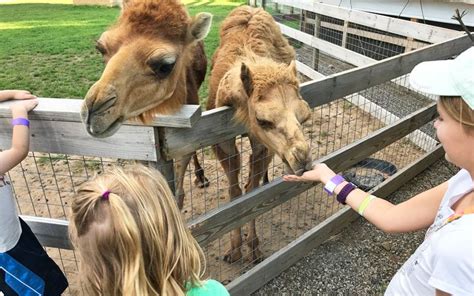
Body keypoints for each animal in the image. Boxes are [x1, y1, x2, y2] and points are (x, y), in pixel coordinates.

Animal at [208, 5, 312, 264]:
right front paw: (234, 249)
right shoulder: (220, 139)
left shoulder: (263, 145)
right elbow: (235, 192)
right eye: (263, 120)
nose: (303, 159)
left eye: (304, 117)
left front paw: (253, 248)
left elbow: (251, 192)